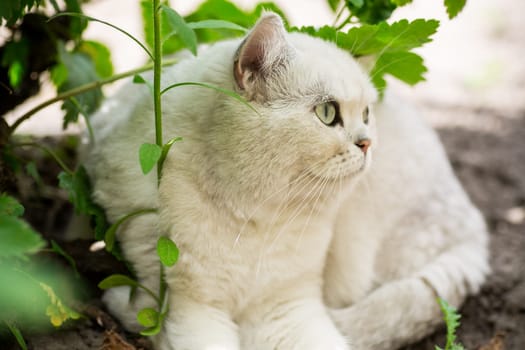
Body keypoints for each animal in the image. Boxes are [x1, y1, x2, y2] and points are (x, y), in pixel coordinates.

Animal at [84, 12, 490, 350]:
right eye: (327, 113)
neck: (255, 220)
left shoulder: (288, 311)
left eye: (366, 114)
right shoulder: (193, 312)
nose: (367, 143)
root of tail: (477, 227)